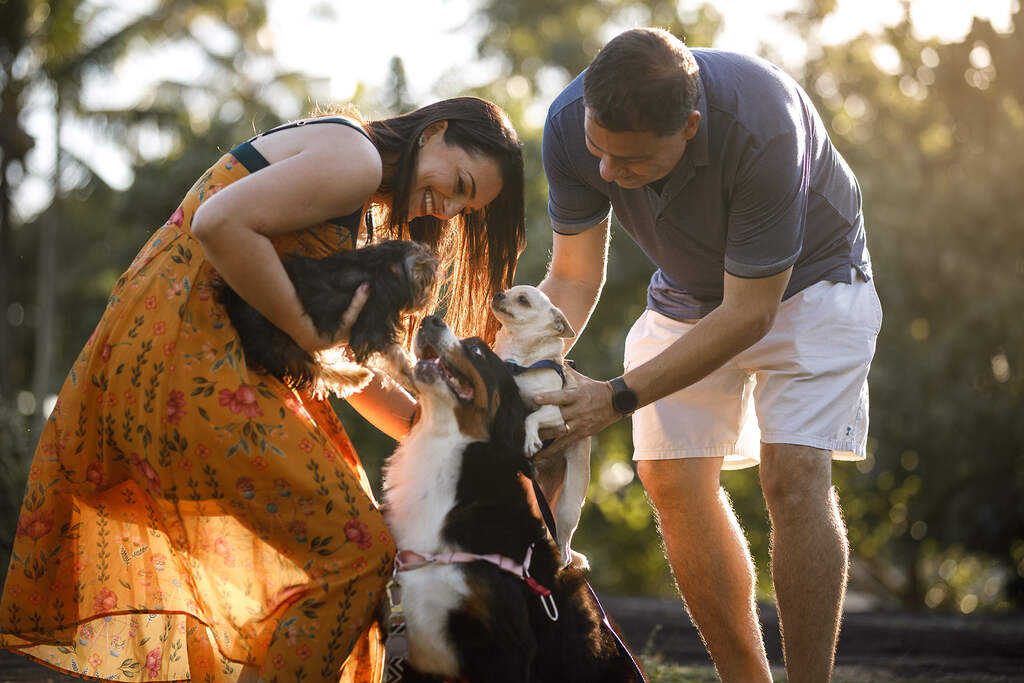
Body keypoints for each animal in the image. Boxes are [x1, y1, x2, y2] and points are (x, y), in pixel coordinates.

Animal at [220, 241, 436, 395]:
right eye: (426, 284)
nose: (426, 302)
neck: (380, 266)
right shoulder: (374, 323)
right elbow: (395, 355)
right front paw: (411, 376)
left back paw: (356, 376)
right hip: (274, 343)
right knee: (312, 368)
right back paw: (357, 376)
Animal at [489, 284, 589, 565]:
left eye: (523, 300)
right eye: (508, 290)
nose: (499, 294)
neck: (518, 362)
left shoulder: (554, 410)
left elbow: (531, 417)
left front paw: (532, 438)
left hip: (567, 506)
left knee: (565, 547)